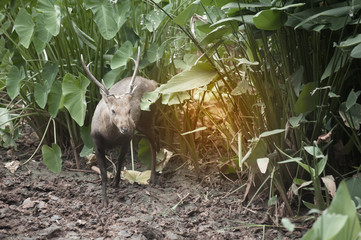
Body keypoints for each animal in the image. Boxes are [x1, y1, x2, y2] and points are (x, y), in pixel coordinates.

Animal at [81, 48, 158, 206]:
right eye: (113, 110)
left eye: (129, 110)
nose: (125, 128)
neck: (109, 138)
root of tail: (153, 82)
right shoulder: (96, 143)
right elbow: (104, 173)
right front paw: (105, 200)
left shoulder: (126, 139)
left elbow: (121, 160)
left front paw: (115, 184)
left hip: (147, 116)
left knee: (154, 142)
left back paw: (153, 178)